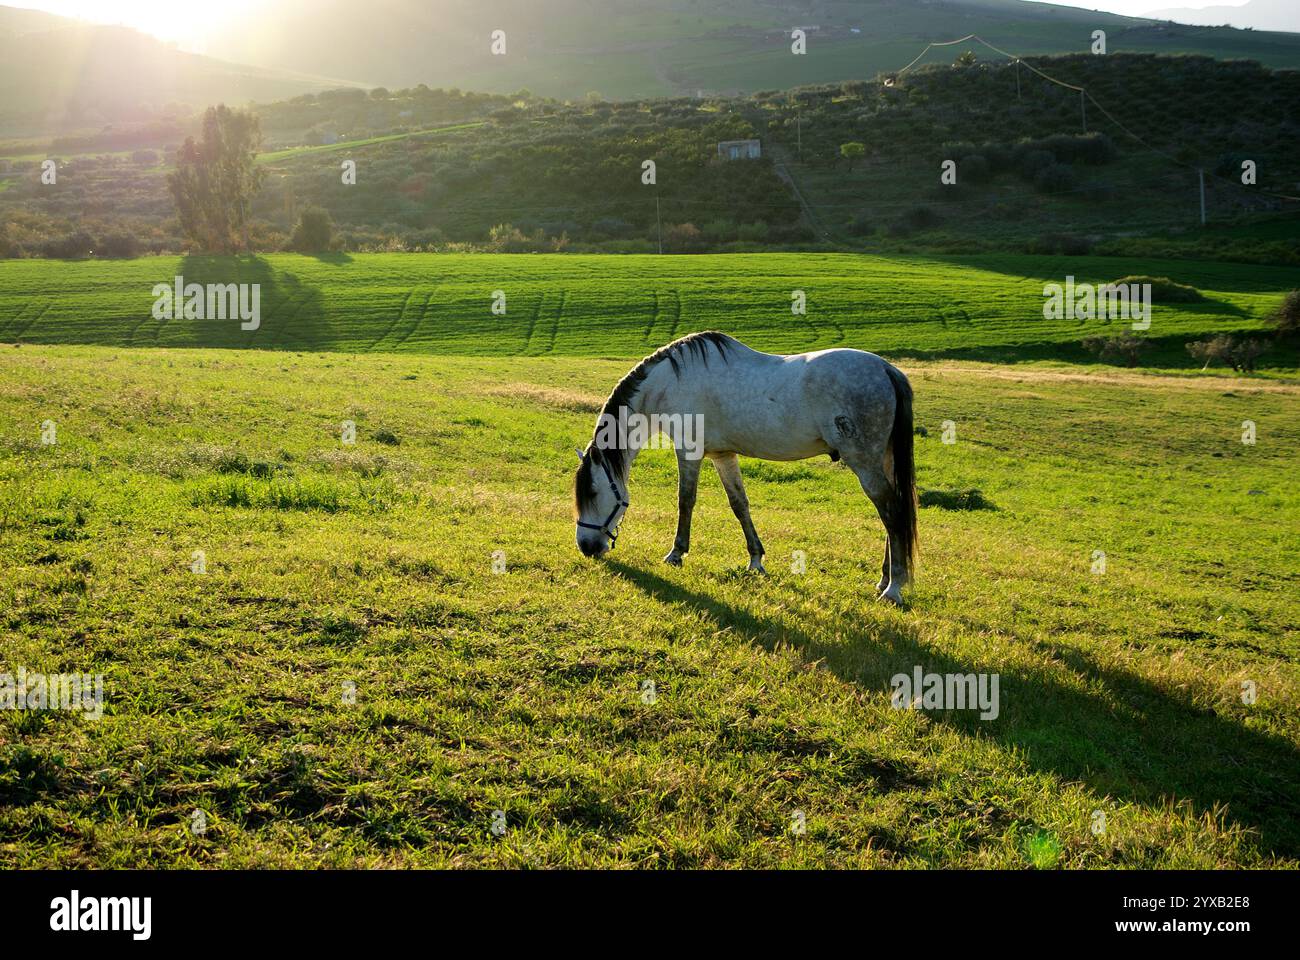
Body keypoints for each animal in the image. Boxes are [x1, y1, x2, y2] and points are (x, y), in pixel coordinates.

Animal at [573, 331, 918, 605]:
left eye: (593, 491)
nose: (586, 547)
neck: (669, 382)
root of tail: (887, 369)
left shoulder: (689, 451)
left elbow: (686, 501)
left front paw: (676, 554)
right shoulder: (723, 455)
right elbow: (739, 504)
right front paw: (755, 560)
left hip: (865, 462)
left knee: (891, 513)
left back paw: (894, 588)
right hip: (881, 461)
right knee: (894, 514)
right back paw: (883, 581)